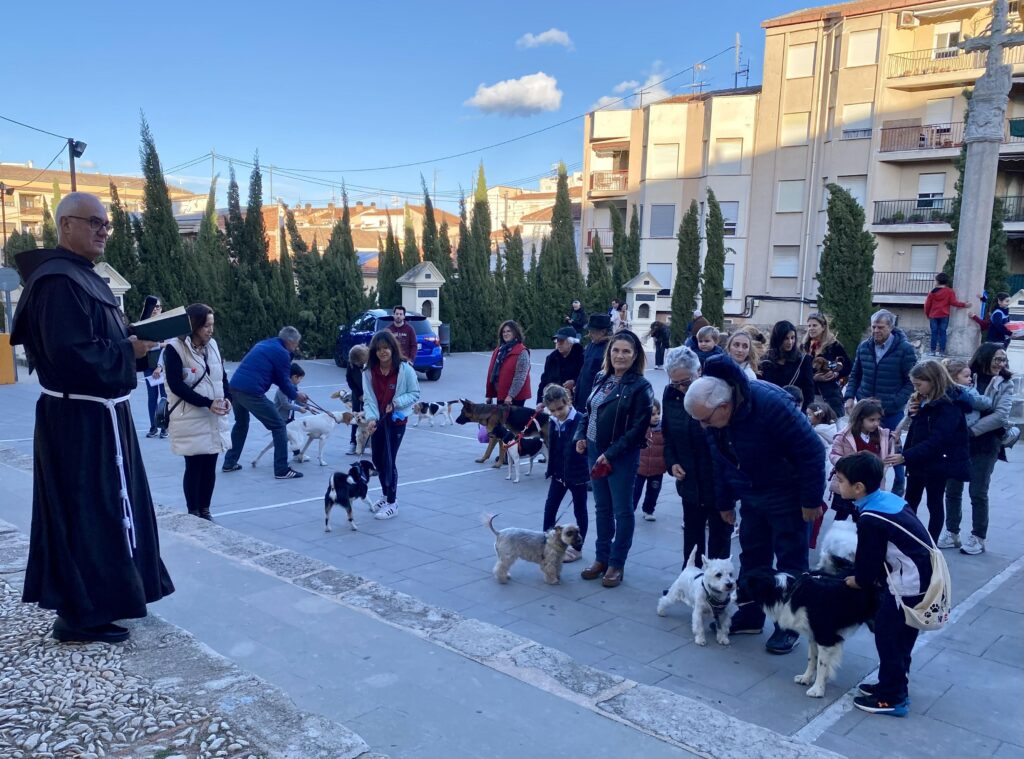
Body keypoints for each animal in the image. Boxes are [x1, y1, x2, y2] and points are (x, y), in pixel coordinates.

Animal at [741, 569, 876, 700]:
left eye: (739, 587)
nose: (733, 597)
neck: (790, 592)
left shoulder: (825, 637)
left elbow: (821, 665)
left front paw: (817, 690)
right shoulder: (813, 636)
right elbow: (812, 658)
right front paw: (805, 678)